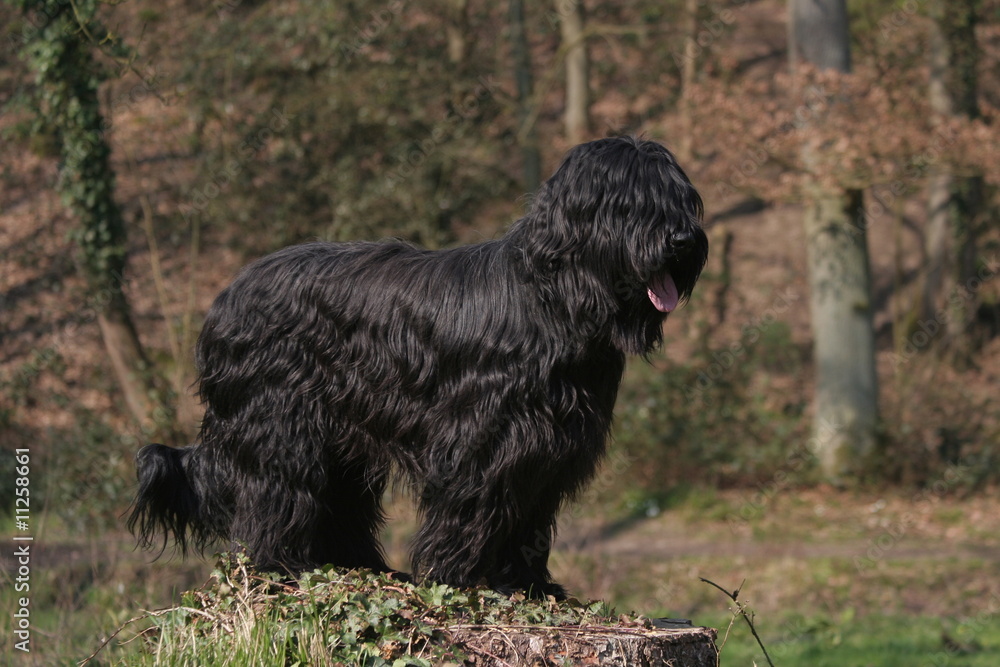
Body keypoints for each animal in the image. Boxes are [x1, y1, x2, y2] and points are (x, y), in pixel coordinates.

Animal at [127, 137, 712, 600]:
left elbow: (527, 519)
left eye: (683, 201)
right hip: (278, 421)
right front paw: (454, 578)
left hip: (339, 439)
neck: (552, 299)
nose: (684, 241)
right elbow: (470, 507)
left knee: (337, 501)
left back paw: (358, 566)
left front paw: (529, 585)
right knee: (273, 491)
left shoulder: (547, 446)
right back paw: (279, 567)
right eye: (630, 204)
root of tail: (226, 297)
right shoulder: (482, 438)